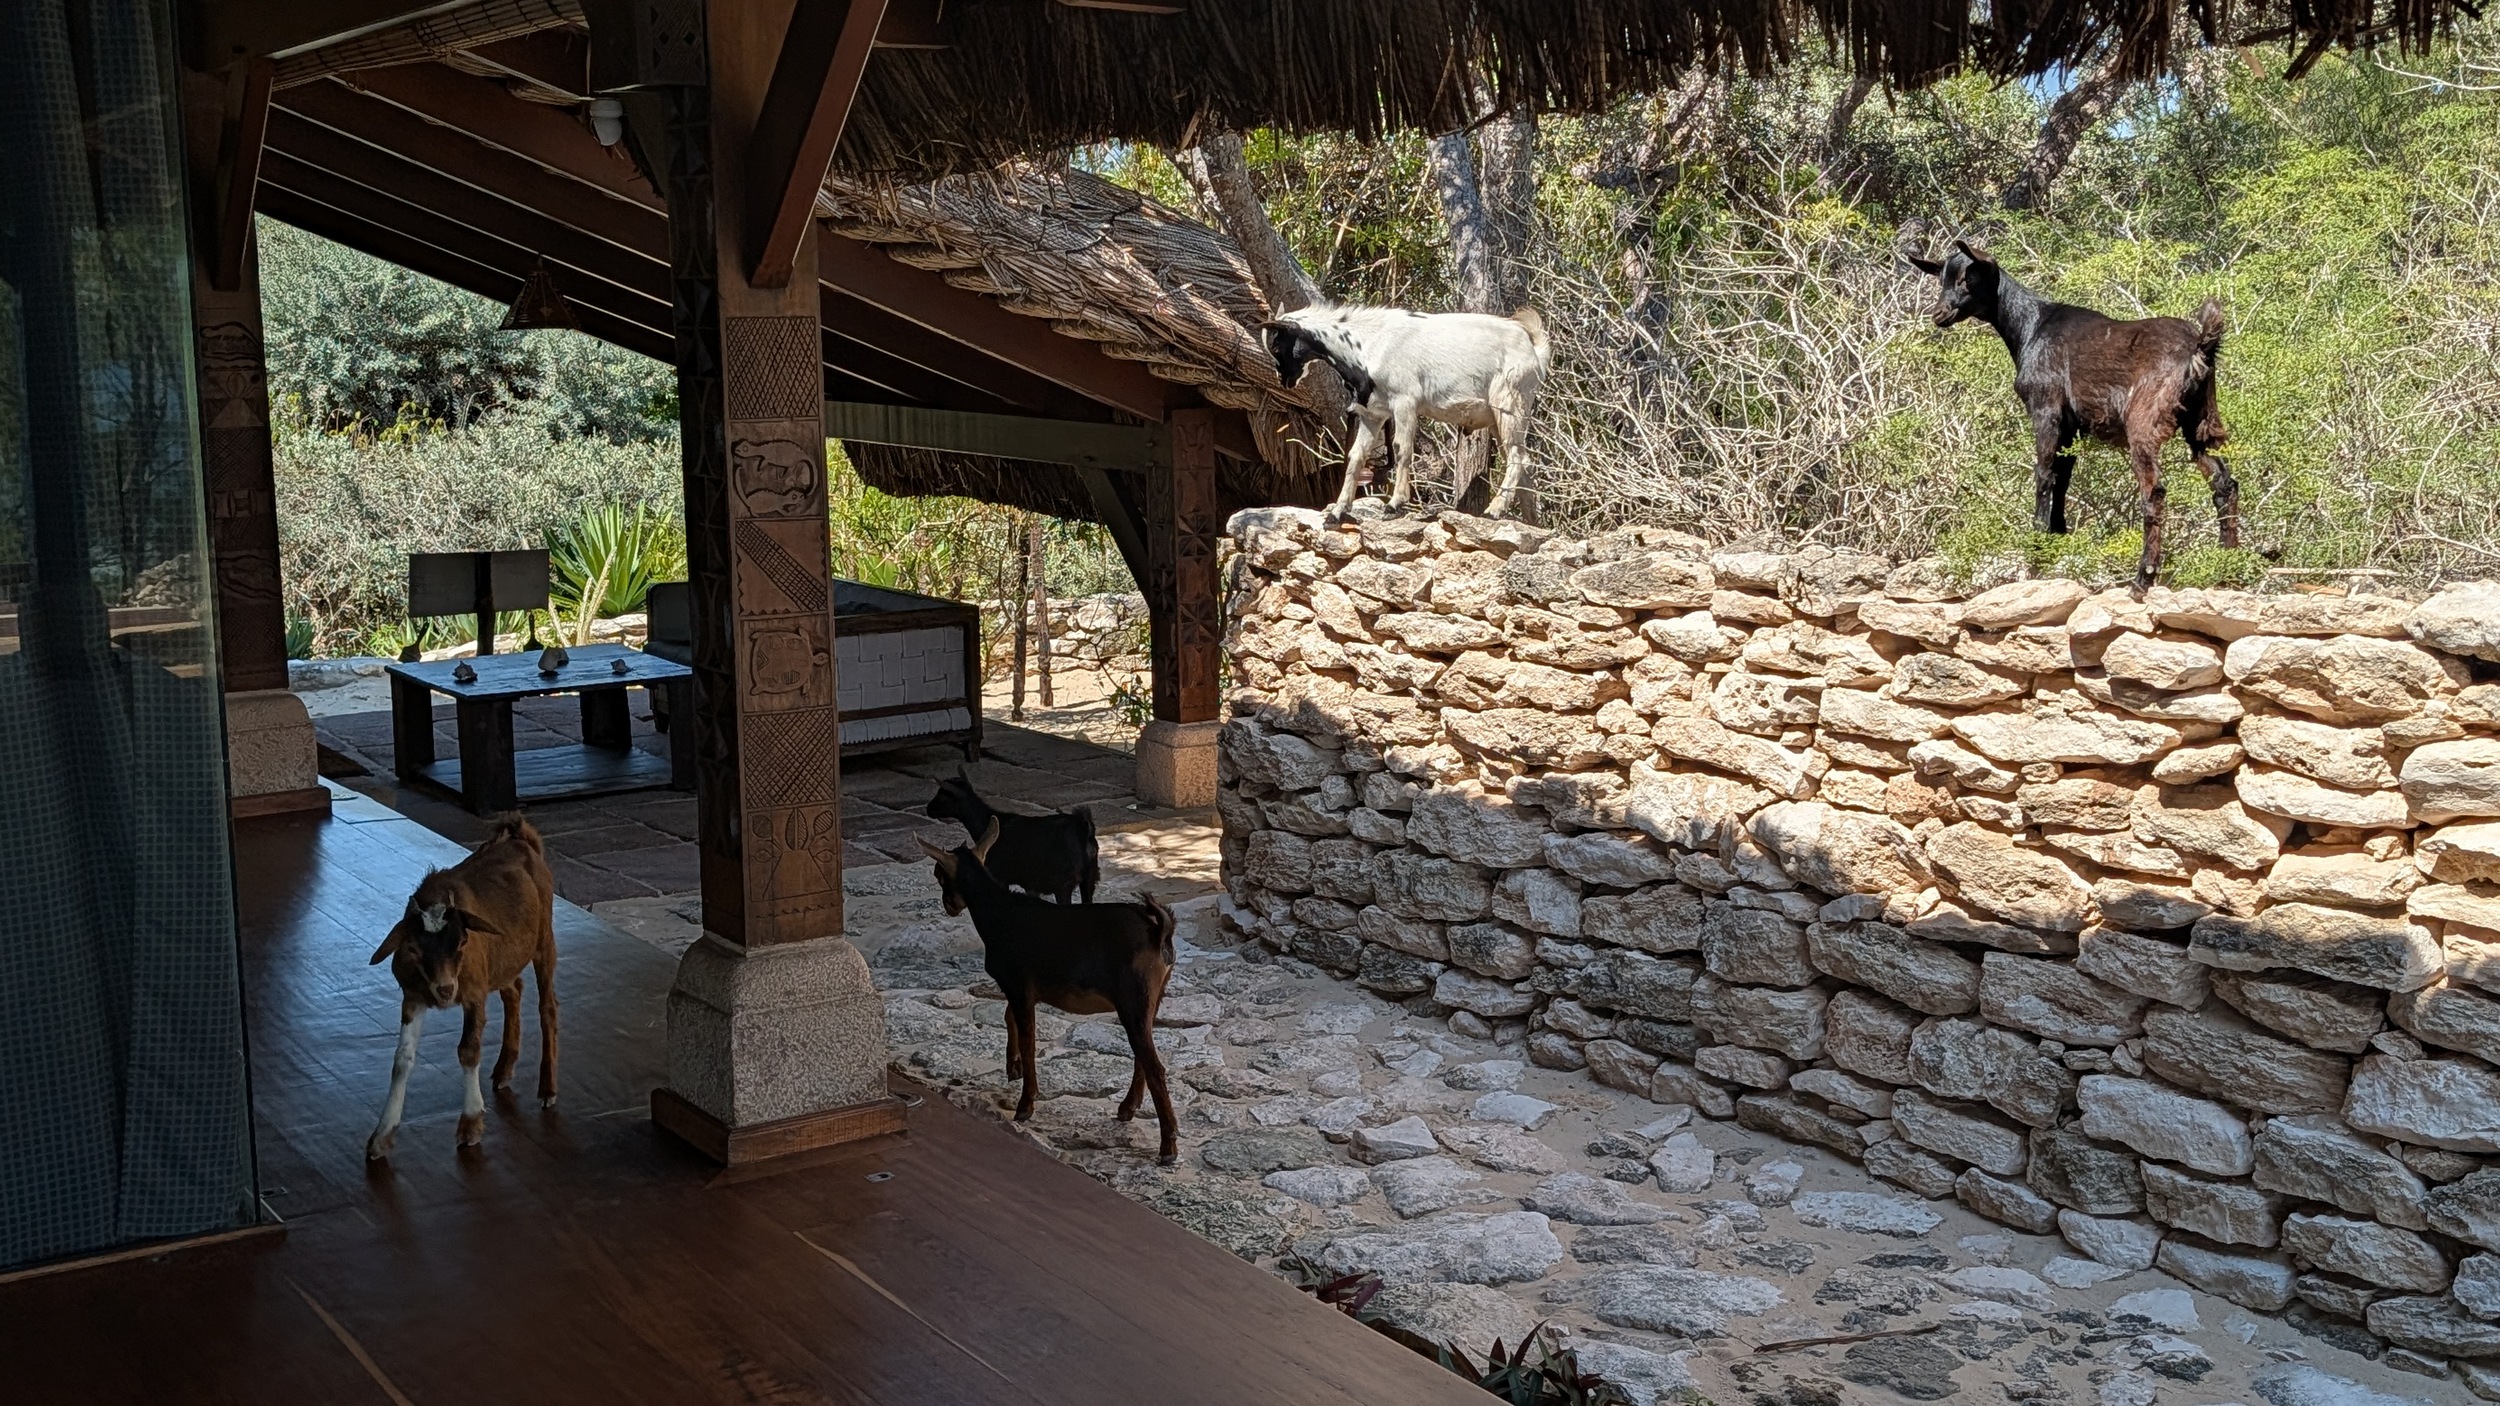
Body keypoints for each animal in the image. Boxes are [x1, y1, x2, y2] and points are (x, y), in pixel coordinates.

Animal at [365, 817, 559, 1159]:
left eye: (462, 941)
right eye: (413, 949)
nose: (445, 991)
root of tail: (521, 836)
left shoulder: (473, 994)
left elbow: (468, 1049)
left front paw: (470, 1125)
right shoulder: (412, 997)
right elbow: (402, 1059)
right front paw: (382, 1136)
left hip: (544, 941)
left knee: (546, 1007)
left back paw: (547, 1088)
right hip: (503, 960)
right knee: (514, 990)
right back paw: (504, 1068)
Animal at [918, 821, 1178, 1163]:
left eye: (938, 874)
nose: (948, 906)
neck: (999, 913)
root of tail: (1158, 930)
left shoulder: (1018, 985)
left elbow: (1029, 1040)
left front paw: (1025, 1104)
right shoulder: (1021, 989)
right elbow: (1009, 1019)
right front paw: (1012, 1067)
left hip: (1133, 999)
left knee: (1155, 1066)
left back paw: (1168, 1147)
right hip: (1151, 999)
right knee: (1143, 1057)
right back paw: (1127, 1109)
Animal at [926, 766, 1099, 903]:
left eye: (942, 795)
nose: (928, 809)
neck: (985, 823)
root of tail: (1083, 828)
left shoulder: (999, 876)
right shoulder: (1031, 884)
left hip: (1063, 884)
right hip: (1090, 878)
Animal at [1262, 303, 1551, 521]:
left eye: (1276, 345)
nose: (1283, 379)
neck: (1366, 343)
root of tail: (1534, 349)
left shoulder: (1404, 402)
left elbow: (1402, 449)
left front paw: (1395, 504)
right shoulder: (1372, 413)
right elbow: (1356, 456)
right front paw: (1338, 510)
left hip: (1510, 402)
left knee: (1517, 457)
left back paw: (1495, 509)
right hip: (1499, 416)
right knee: (1523, 462)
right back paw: (1530, 521)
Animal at [1906, 240, 2238, 591]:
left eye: (1967, 278)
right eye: (1941, 278)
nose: (1939, 314)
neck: (2030, 327)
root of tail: (2199, 348)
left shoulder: (2046, 409)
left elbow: (2044, 475)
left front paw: (2036, 552)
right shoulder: (2072, 427)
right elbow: (2063, 478)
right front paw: (2057, 538)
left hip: (2145, 421)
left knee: (2155, 490)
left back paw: (2143, 577)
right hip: (2200, 421)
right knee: (2223, 482)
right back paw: (2227, 567)